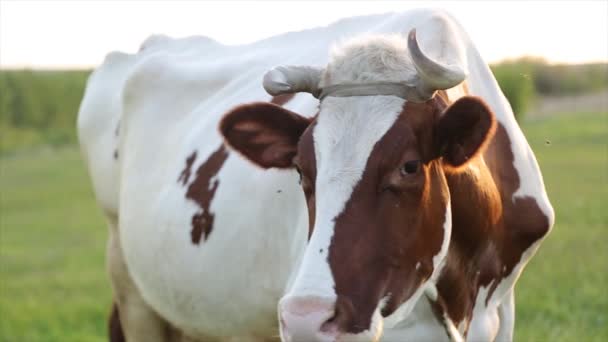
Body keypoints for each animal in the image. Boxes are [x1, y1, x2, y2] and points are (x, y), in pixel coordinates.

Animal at [78, 8, 552, 342]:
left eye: (409, 166)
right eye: (302, 169)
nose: (307, 317)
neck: (464, 289)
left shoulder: (501, 311)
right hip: (130, 286)